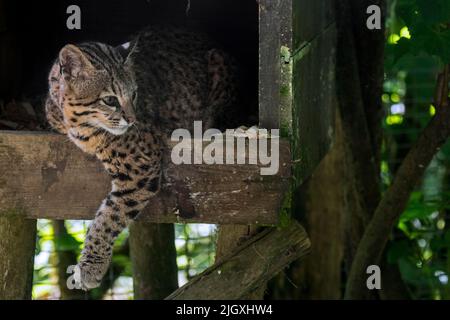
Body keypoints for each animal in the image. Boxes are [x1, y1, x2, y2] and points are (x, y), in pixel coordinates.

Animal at [44, 25, 239, 290]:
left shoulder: (140, 166)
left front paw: (90, 267)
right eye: (110, 100)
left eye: (134, 94)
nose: (132, 120)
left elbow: (110, 216)